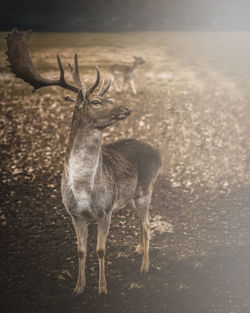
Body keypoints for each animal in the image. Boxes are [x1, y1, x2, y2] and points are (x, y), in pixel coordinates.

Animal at [6, 28, 162, 294]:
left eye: (107, 99)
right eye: (96, 101)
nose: (126, 108)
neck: (82, 188)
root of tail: (159, 153)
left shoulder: (105, 210)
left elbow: (100, 250)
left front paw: (102, 289)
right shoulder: (74, 214)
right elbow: (80, 251)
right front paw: (78, 288)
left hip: (146, 188)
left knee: (147, 223)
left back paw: (144, 267)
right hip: (131, 196)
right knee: (144, 221)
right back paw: (138, 250)